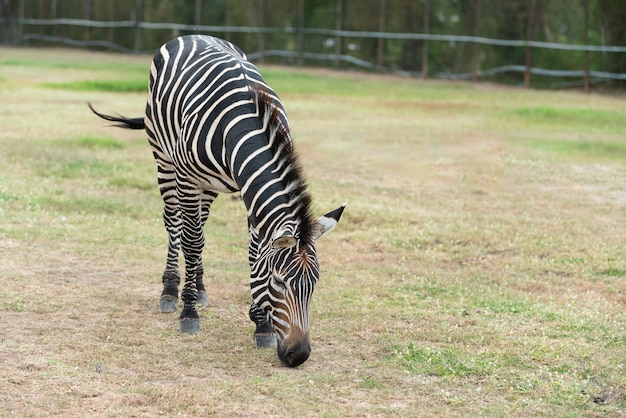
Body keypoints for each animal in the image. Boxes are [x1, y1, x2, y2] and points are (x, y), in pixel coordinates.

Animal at [88, 35, 344, 366]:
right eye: (279, 281)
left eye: (314, 284)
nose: (298, 355)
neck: (246, 127)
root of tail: (194, 36)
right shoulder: (187, 176)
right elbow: (191, 242)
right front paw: (188, 312)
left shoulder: (251, 193)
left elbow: (252, 252)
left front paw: (260, 323)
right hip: (164, 160)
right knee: (176, 225)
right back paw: (170, 290)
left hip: (209, 185)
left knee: (198, 227)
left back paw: (199, 287)